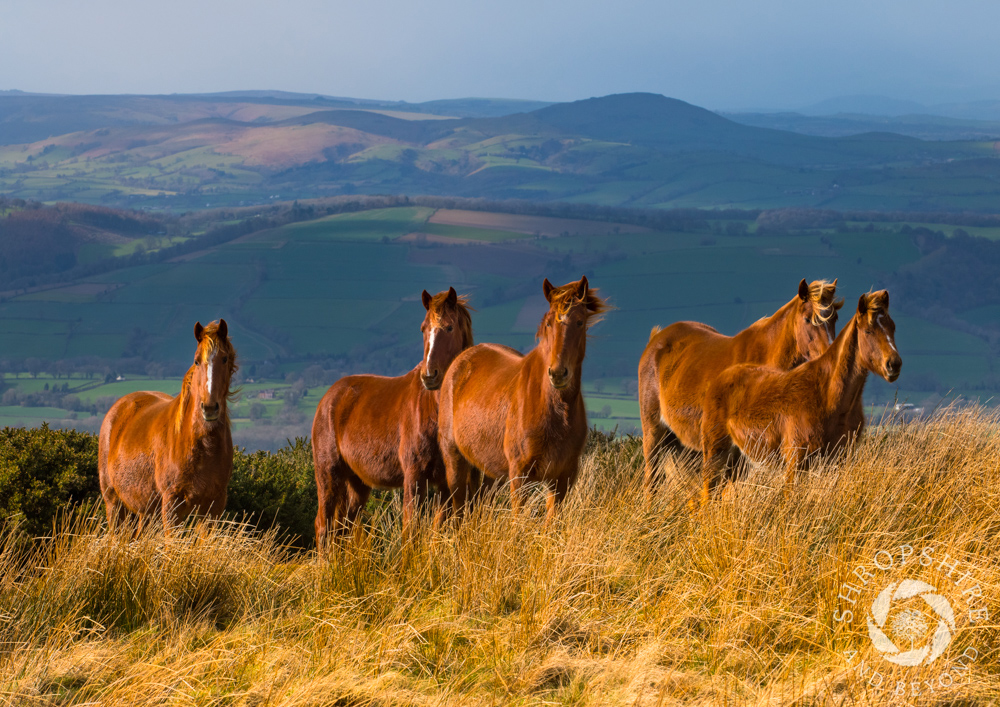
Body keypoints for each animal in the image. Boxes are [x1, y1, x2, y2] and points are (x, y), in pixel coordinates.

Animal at [99, 319, 238, 529]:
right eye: (197, 361)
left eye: (224, 359)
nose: (209, 408)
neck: (200, 445)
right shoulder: (172, 504)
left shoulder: (213, 506)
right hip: (114, 503)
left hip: (147, 511)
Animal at [311, 287, 473, 546]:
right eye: (423, 328)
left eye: (449, 328)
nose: (429, 376)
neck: (433, 410)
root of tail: (328, 398)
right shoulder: (414, 476)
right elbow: (411, 529)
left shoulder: (446, 482)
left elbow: (438, 530)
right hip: (328, 474)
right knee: (323, 525)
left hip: (357, 483)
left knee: (343, 526)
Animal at [437, 276, 609, 522]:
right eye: (549, 323)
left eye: (580, 322)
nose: (558, 373)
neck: (553, 409)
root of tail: (461, 360)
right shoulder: (520, 477)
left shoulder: (561, 479)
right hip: (454, 460)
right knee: (456, 509)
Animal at [638, 279, 843, 488]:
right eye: (808, 319)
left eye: (834, 318)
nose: (831, 355)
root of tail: (656, 339)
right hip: (654, 432)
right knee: (651, 480)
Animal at [700, 290, 901, 504]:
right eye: (868, 331)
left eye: (892, 327)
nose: (894, 364)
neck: (826, 395)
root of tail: (719, 379)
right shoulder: (796, 462)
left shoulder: (839, 460)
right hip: (715, 453)